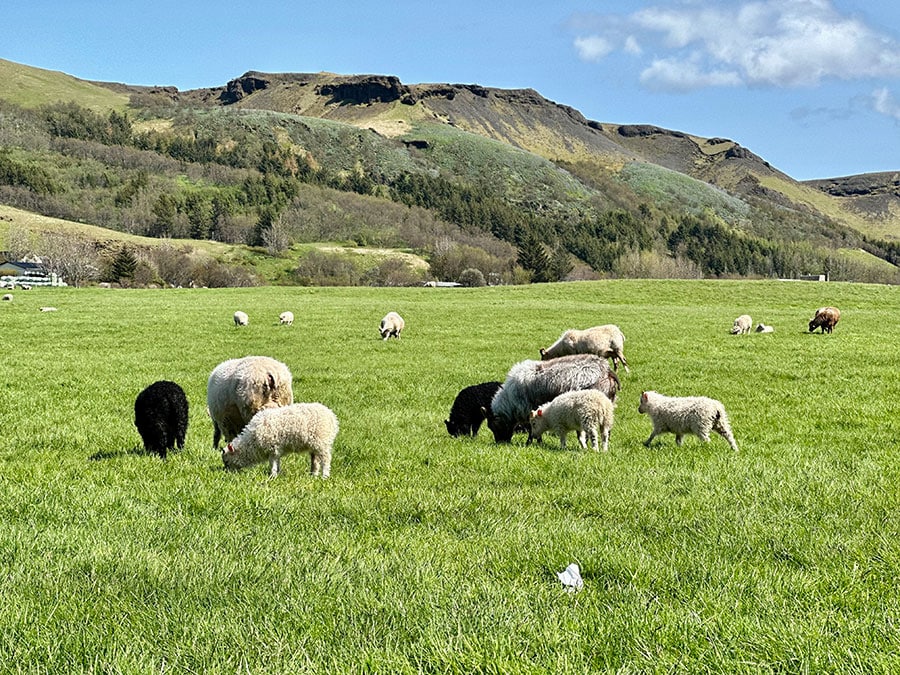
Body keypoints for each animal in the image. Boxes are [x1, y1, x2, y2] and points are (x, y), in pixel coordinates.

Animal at [486, 354, 620, 444]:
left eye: (495, 426)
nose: (501, 443)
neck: (510, 401)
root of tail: (607, 370)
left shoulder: (530, 408)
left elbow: (531, 428)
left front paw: (531, 442)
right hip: (608, 407)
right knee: (607, 429)